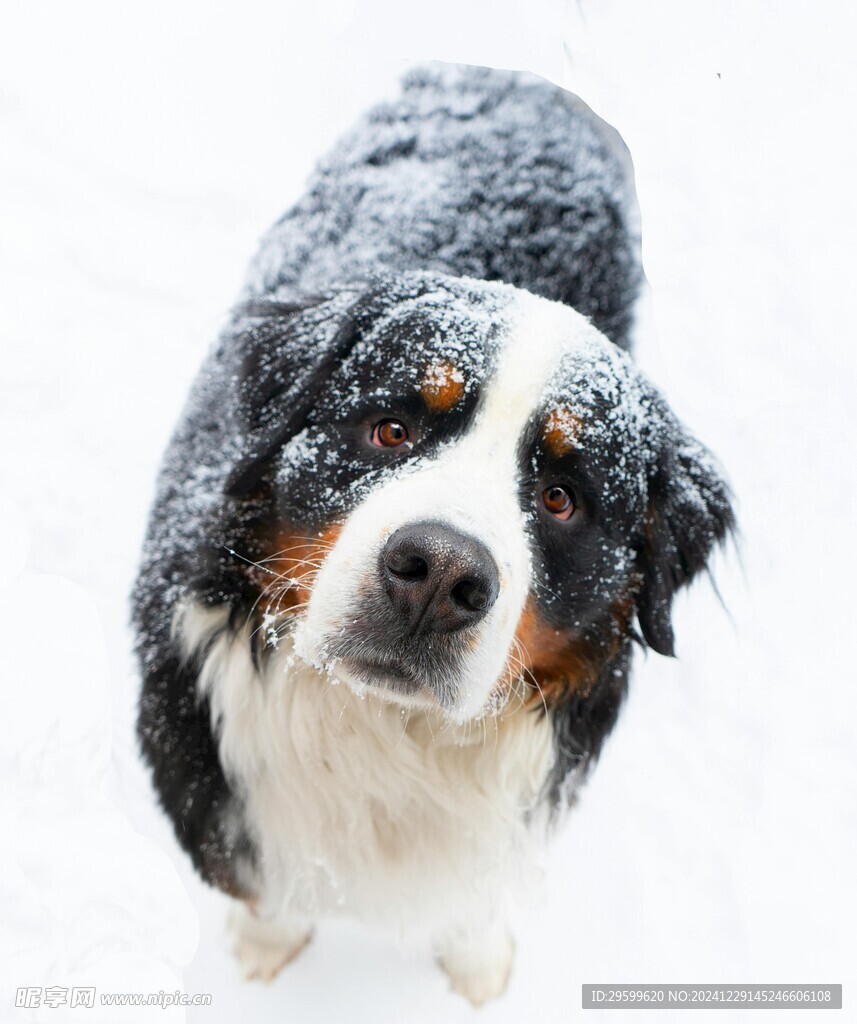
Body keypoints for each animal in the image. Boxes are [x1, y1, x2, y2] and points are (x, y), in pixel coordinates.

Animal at [130, 66, 733, 1007]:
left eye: (560, 498)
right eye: (391, 430)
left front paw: (477, 969)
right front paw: (263, 951)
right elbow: (261, 888)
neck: (381, 734)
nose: (439, 576)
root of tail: (519, 77)